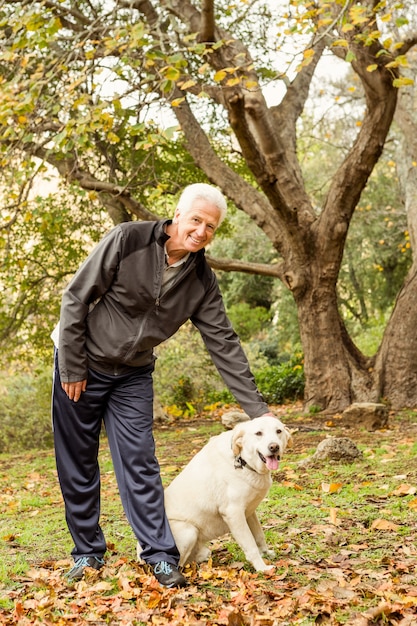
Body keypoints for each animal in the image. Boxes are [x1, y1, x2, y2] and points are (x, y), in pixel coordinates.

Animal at [139, 414, 290, 572]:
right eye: (258, 433)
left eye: (278, 431)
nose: (274, 447)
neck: (242, 461)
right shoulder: (234, 514)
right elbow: (251, 545)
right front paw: (262, 568)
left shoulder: (249, 512)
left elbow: (259, 536)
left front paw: (266, 553)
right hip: (189, 531)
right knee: (178, 563)